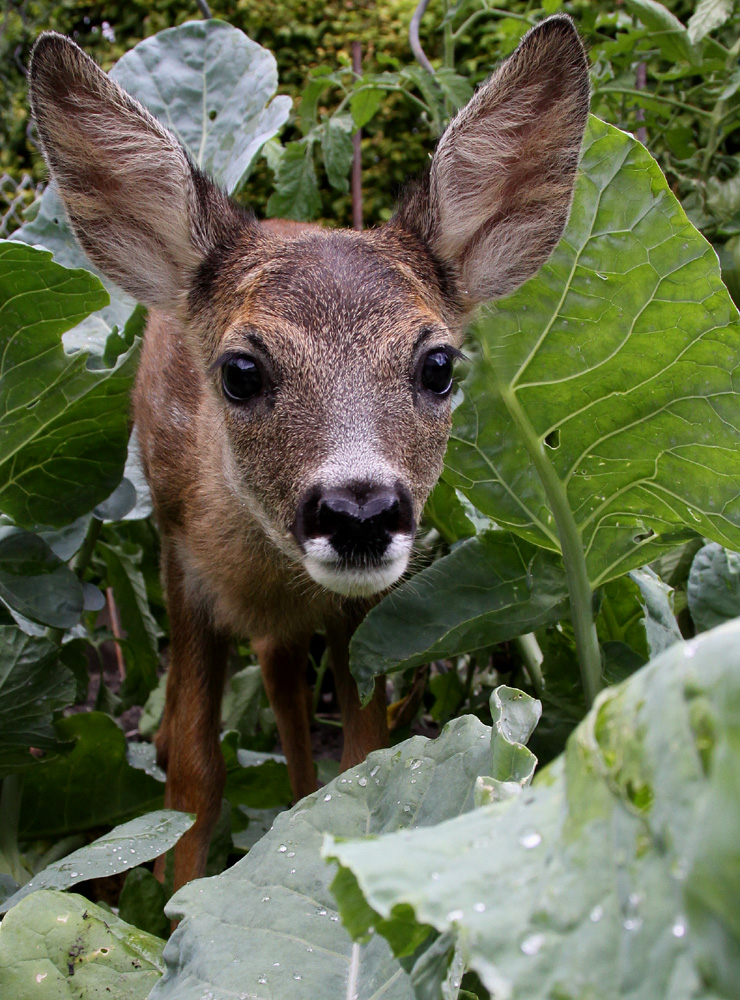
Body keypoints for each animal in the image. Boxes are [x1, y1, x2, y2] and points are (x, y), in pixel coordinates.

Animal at [28, 13, 588, 892]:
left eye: (438, 365)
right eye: (240, 370)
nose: (360, 511)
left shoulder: (370, 616)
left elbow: (364, 757)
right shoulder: (178, 560)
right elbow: (192, 771)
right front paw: (175, 893)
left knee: (292, 695)